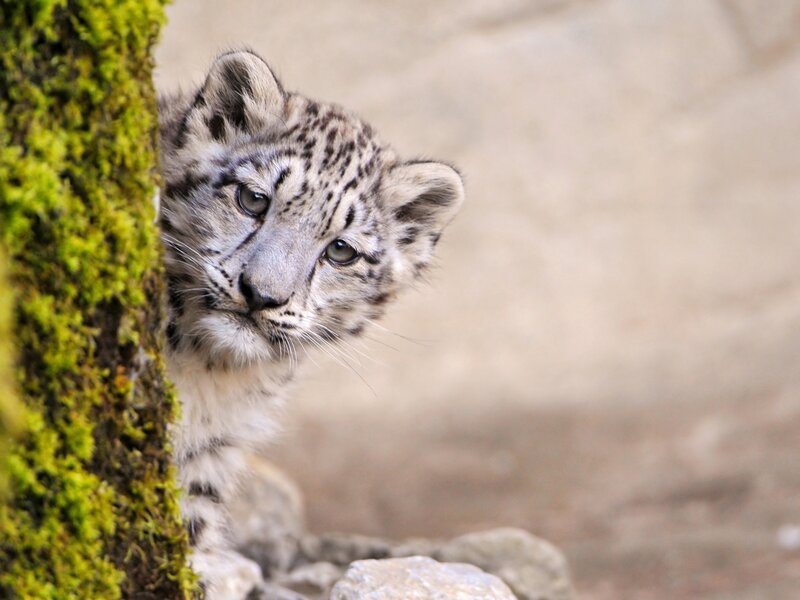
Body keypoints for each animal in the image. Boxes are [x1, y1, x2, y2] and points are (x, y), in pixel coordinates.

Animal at [157, 49, 464, 598]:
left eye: (341, 250)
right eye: (253, 199)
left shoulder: (210, 450)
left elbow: (189, 524)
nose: (261, 294)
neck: (209, 374)